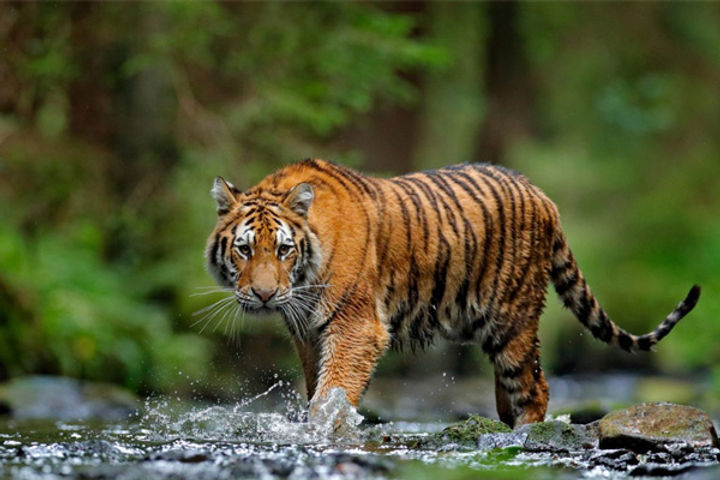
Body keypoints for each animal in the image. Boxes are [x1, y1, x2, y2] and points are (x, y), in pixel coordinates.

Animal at [205, 158, 700, 427]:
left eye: (283, 249)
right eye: (245, 249)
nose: (264, 295)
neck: (304, 281)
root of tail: (542, 194)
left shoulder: (355, 327)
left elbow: (333, 392)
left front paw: (324, 430)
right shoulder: (308, 333)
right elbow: (317, 389)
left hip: (513, 320)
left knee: (535, 387)